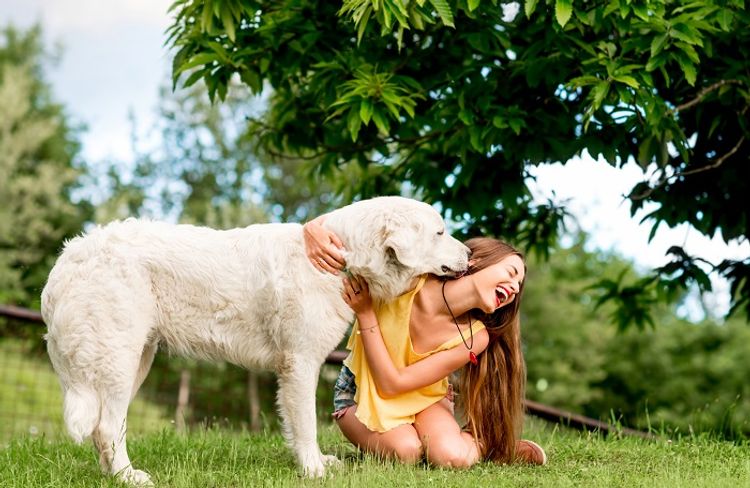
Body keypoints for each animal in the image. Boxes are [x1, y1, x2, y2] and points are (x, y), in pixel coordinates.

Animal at [41, 195, 470, 484]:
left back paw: (112, 474)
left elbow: (298, 425)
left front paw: (315, 463)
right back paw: (129, 476)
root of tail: (68, 257)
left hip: (136, 361)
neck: (344, 256)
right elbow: (306, 423)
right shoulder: (300, 362)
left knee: (105, 428)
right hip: (119, 360)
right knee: (106, 426)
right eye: (440, 232)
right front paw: (313, 469)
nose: (468, 253)